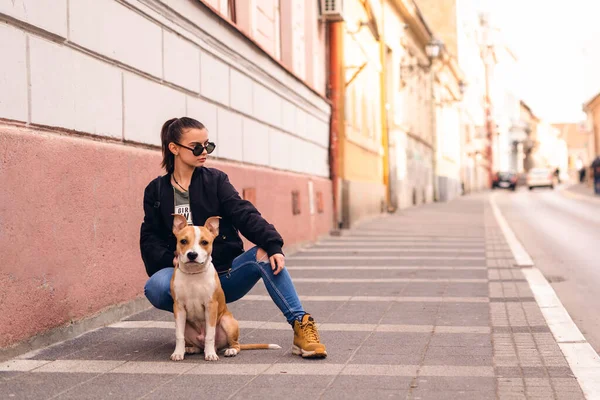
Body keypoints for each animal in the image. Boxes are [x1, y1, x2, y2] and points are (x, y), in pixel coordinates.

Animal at [170, 214, 280, 360]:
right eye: (183, 241)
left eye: (204, 242)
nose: (192, 255)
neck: (193, 274)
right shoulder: (179, 307)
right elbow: (178, 335)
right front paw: (178, 353)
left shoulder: (211, 306)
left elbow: (210, 335)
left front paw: (210, 354)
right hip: (187, 325)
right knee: (197, 345)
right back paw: (191, 348)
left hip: (227, 322)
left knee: (233, 344)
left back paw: (229, 350)